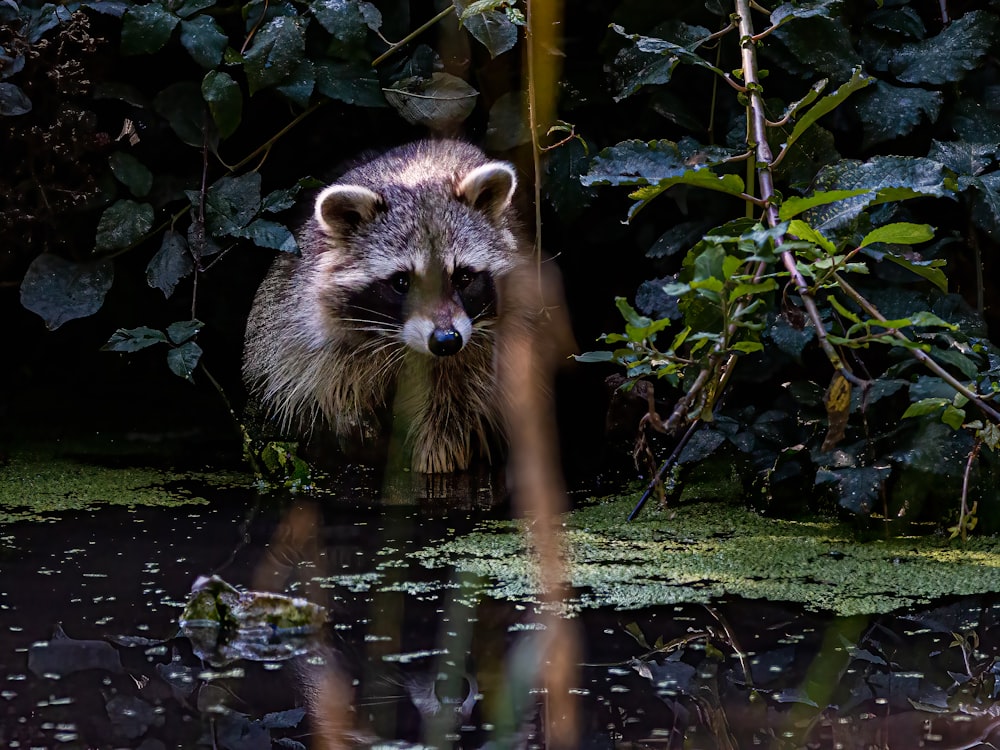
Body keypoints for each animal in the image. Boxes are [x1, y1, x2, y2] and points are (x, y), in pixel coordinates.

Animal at [242, 141, 532, 476]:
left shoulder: (479, 357)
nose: (446, 341)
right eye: (402, 282)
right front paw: (351, 421)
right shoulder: (306, 327)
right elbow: (322, 381)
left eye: (463, 277)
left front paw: (433, 462)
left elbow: (450, 417)